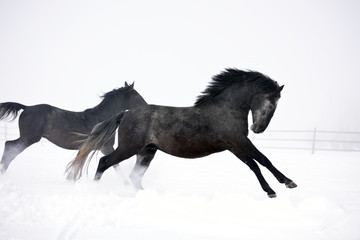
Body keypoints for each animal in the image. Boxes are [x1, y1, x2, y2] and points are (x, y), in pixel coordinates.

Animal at [0, 81, 147, 173]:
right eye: (137, 96)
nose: (147, 106)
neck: (102, 118)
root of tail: (26, 107)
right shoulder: (105, 147)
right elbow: (115, 165)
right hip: (29, 138)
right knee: (10, 146)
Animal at [67, 69, 298, 197]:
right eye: (272, 102)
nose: (257, 129)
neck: (225, 109)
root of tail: (125, 114)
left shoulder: (234, 146)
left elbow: (254, 165)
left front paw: (271, 191)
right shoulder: (239, 141)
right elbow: (263, 160)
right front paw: (287, 182)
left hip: (147, 152)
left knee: (134, 176)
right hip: (128, 148)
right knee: (104, 162)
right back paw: (96, 191)